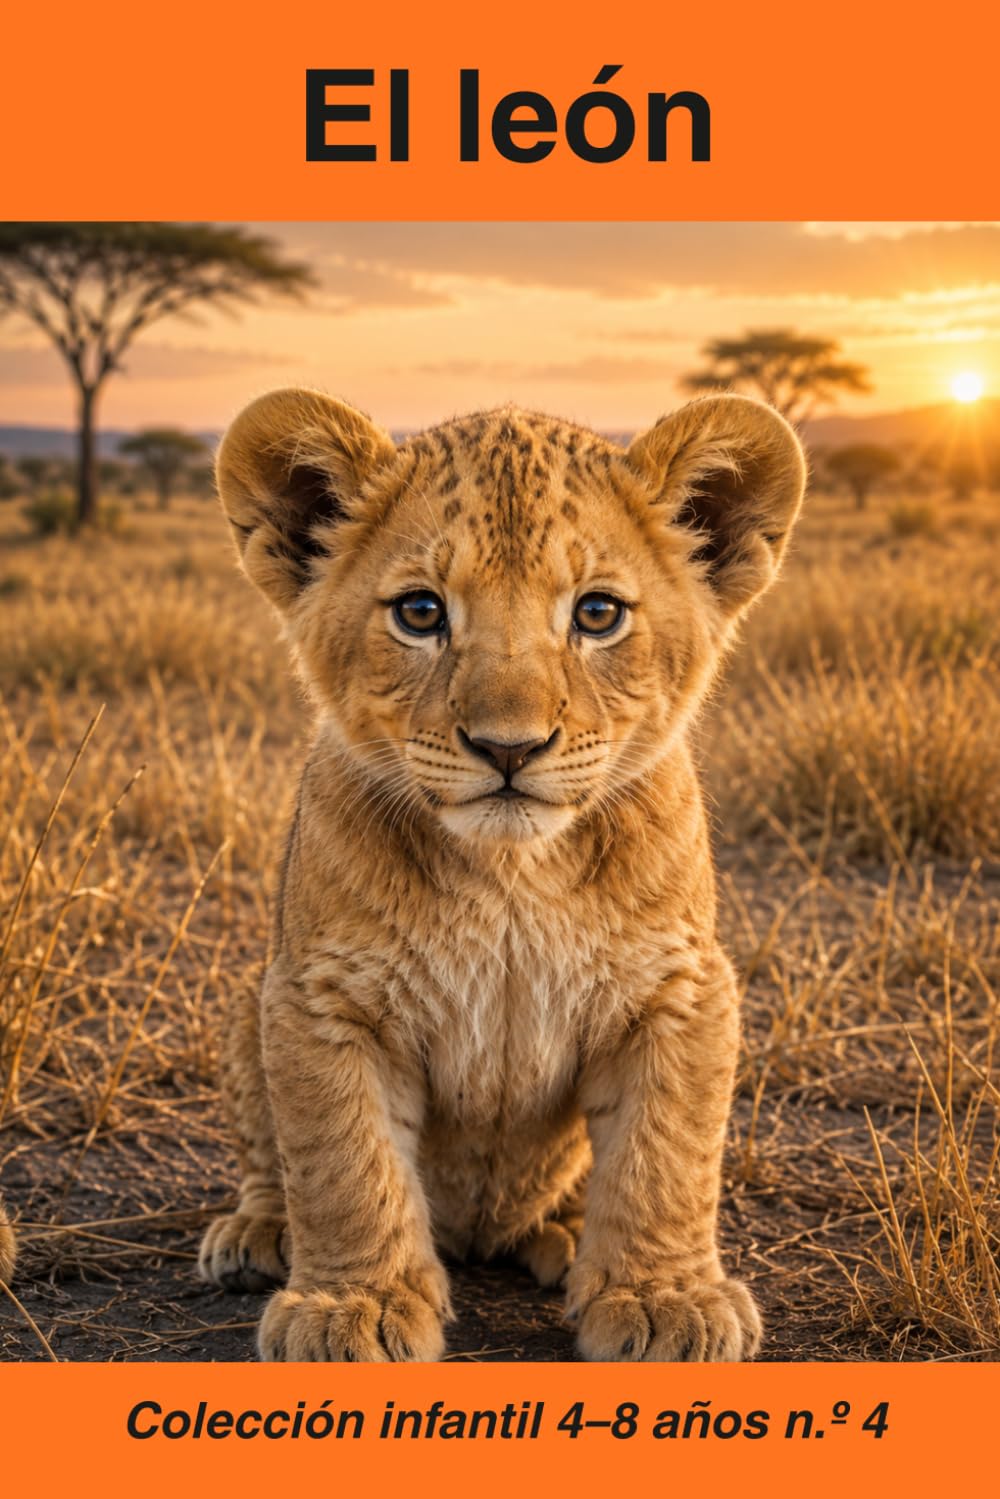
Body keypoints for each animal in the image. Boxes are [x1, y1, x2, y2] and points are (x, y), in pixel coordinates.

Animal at [199, 388, 806, 1362]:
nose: (509, 747)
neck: (513, 877)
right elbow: (342, 1162)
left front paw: (663, 1298)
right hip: (245, 1003)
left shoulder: (681, 989)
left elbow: (666, 1155)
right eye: (420, 612)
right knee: (270, 1157)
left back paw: (563, 1234)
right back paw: (259, 1233)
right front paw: (350, 1307)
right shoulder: (319, 996)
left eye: (597, 614)